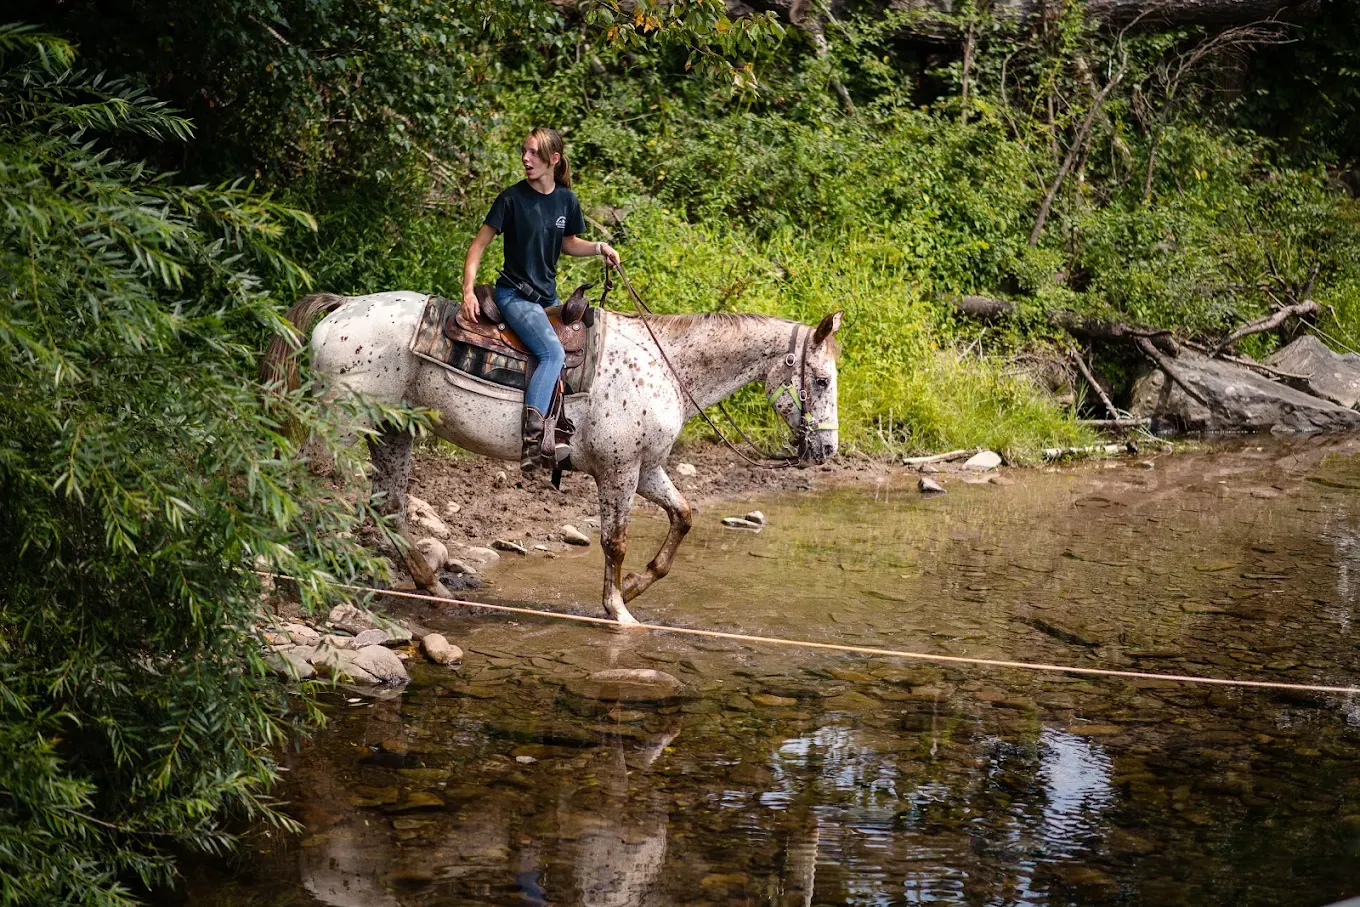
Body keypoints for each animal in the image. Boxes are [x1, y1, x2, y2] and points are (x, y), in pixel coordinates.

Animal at [262, 289, 842, 625]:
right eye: (821, 380)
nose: (828, 450)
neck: (666, 365)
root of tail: (342, 307)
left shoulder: (647, 469)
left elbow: (682, 517)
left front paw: (635, 589)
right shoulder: (619, 470)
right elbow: (615, 541)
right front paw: (618, 612)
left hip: (392, 430)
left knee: (389, 508)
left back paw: (434, 588)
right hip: (341, 426)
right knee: (309, 488)